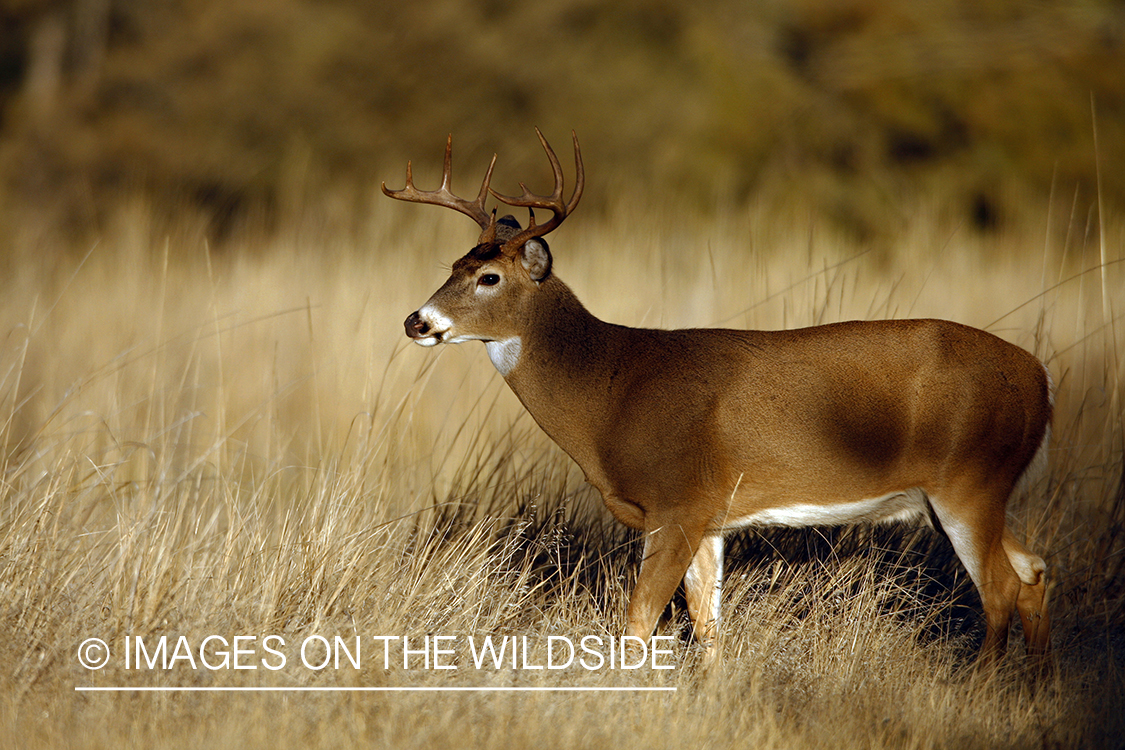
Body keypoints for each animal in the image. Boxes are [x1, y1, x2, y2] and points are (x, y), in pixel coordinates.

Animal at [387, 132, 1053, 665]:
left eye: (489, 277)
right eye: (452, 264)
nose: (416, 321)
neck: (610, 391)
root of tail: (1041, 382)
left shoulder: (677, 500)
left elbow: (638, 624)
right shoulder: (708, 514)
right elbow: (708, 628)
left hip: (968, 481)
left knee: (1002, 590)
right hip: (975, 492)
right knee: (1035, 570)